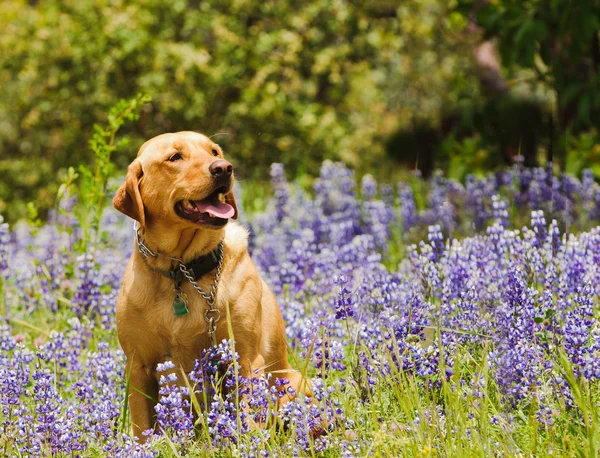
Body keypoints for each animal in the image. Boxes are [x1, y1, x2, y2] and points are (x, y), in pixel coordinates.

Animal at [113, 131, 310, 440]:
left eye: (214, 151)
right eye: (175, 157)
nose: (224, 168)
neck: (182, 270)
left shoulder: (244, 358)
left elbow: (249, 418)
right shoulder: (139, 366)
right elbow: (142, 427)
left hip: (297, 383)